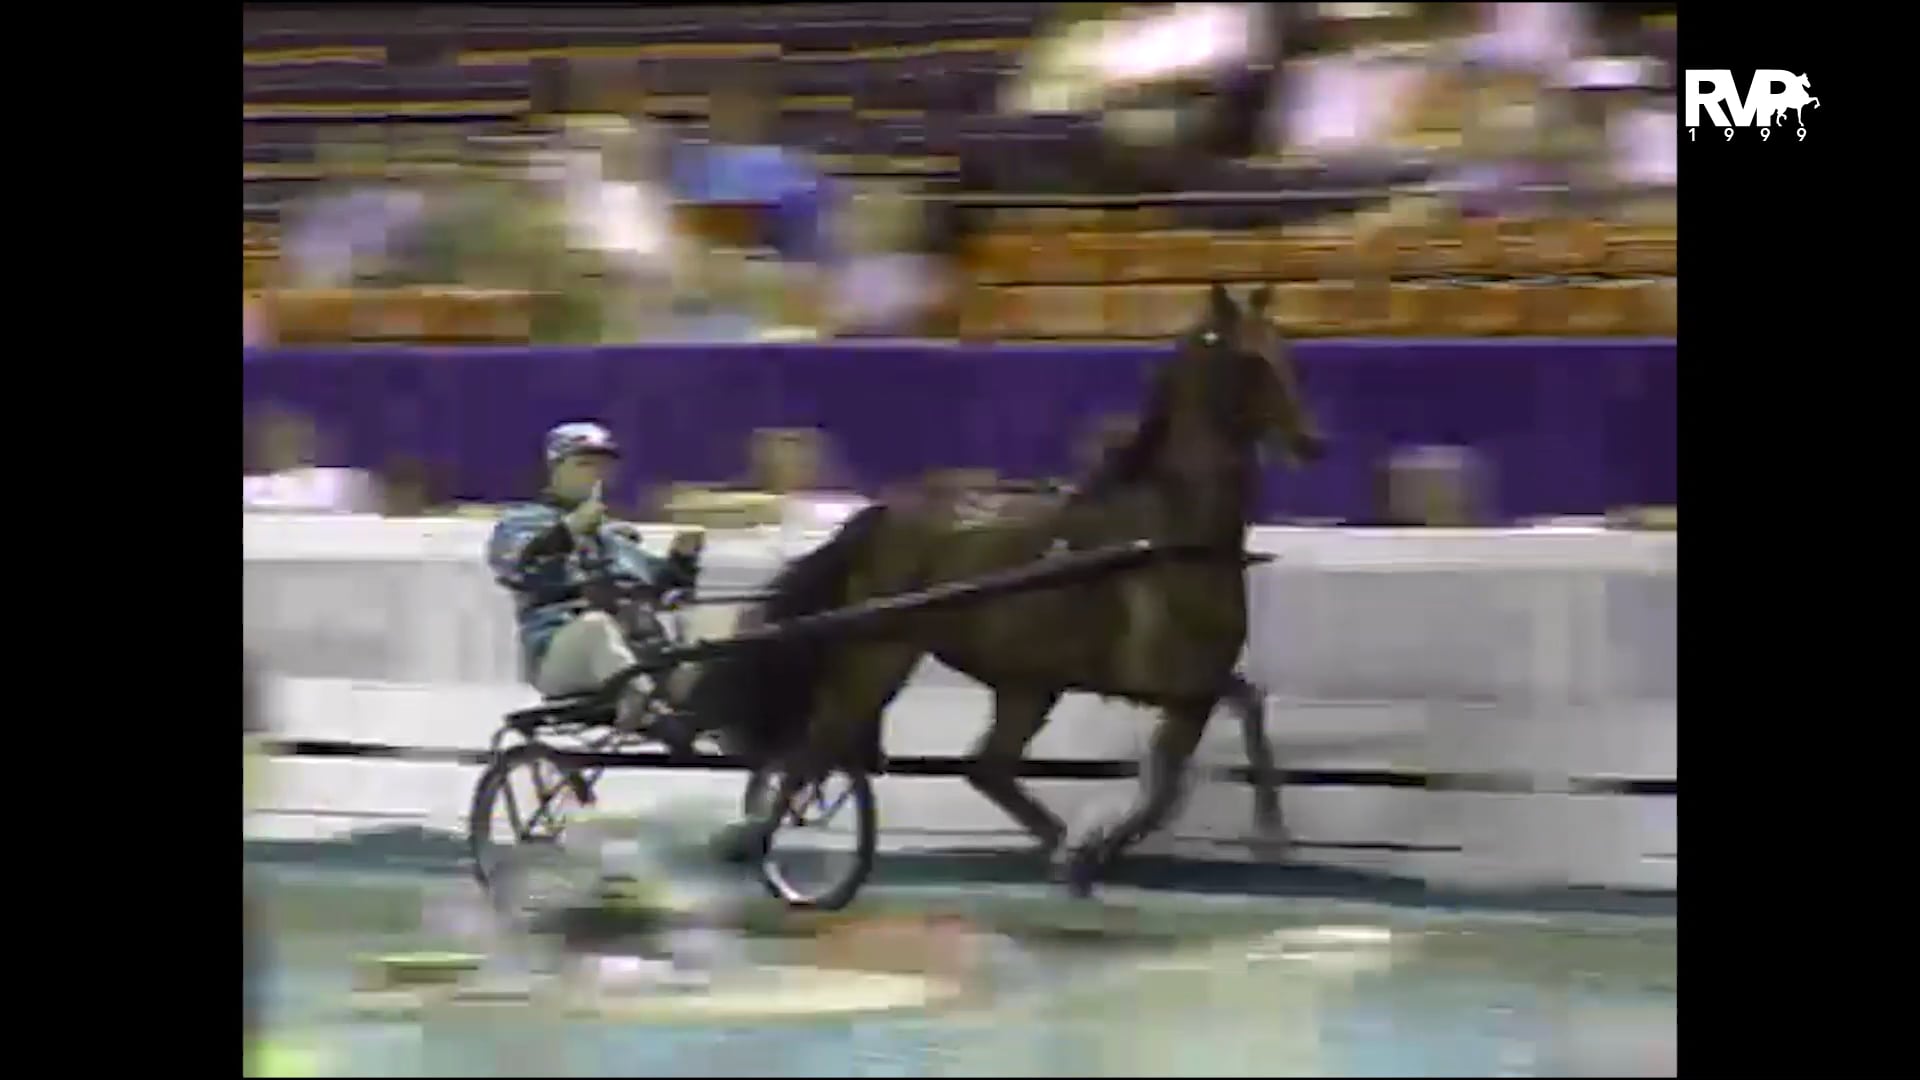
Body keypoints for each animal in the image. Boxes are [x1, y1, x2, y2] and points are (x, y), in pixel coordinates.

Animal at [685, 284, 1324, 896]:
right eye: (1250, 359)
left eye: (1284, 349)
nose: (1310, 443)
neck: (1170, 537)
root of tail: (885, 513)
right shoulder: (1176, 685)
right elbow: (1171, 782)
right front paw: (1250, 836)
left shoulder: (1193, 686)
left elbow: (1237, 720)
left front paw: (1258, 834)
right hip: (882, 657)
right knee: (823, 741)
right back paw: (754, 837)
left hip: (1027, 684)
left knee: (983, 767)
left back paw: (1061, 843)